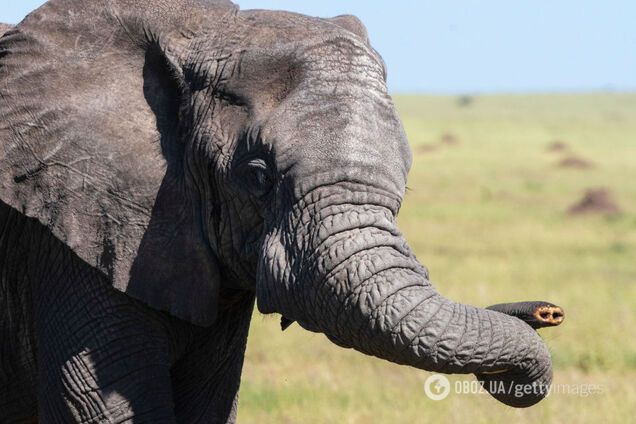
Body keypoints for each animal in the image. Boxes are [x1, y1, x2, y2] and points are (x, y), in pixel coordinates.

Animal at [0, 0, 564, 422]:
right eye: (257, 176)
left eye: (406, 179)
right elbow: (104, 409)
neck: (199, 28)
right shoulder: (74, 223)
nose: (547, 312)